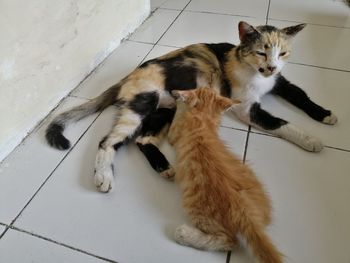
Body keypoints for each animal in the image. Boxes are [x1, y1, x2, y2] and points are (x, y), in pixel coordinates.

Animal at [45, 21, 336, 193]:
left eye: (282, 53)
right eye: (261, 52)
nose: (271, 67)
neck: (256, 73)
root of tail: (125, 78)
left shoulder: (281, 82)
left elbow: (301, 95)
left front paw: (325, 115)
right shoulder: (246, 108)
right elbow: (279, 123)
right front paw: (310, 139)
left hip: (168, 109)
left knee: (142, 139)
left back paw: (163, 166)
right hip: (142, 103)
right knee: (108, 141)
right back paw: (104, 175)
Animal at [168, 88, 284, 263]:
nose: (175, 94)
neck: (203, 118)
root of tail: (244, 210)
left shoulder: (175, 133)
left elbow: (177, 117)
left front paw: (180, 98)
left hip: (198, 210)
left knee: (229, 241)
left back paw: (184, 234)